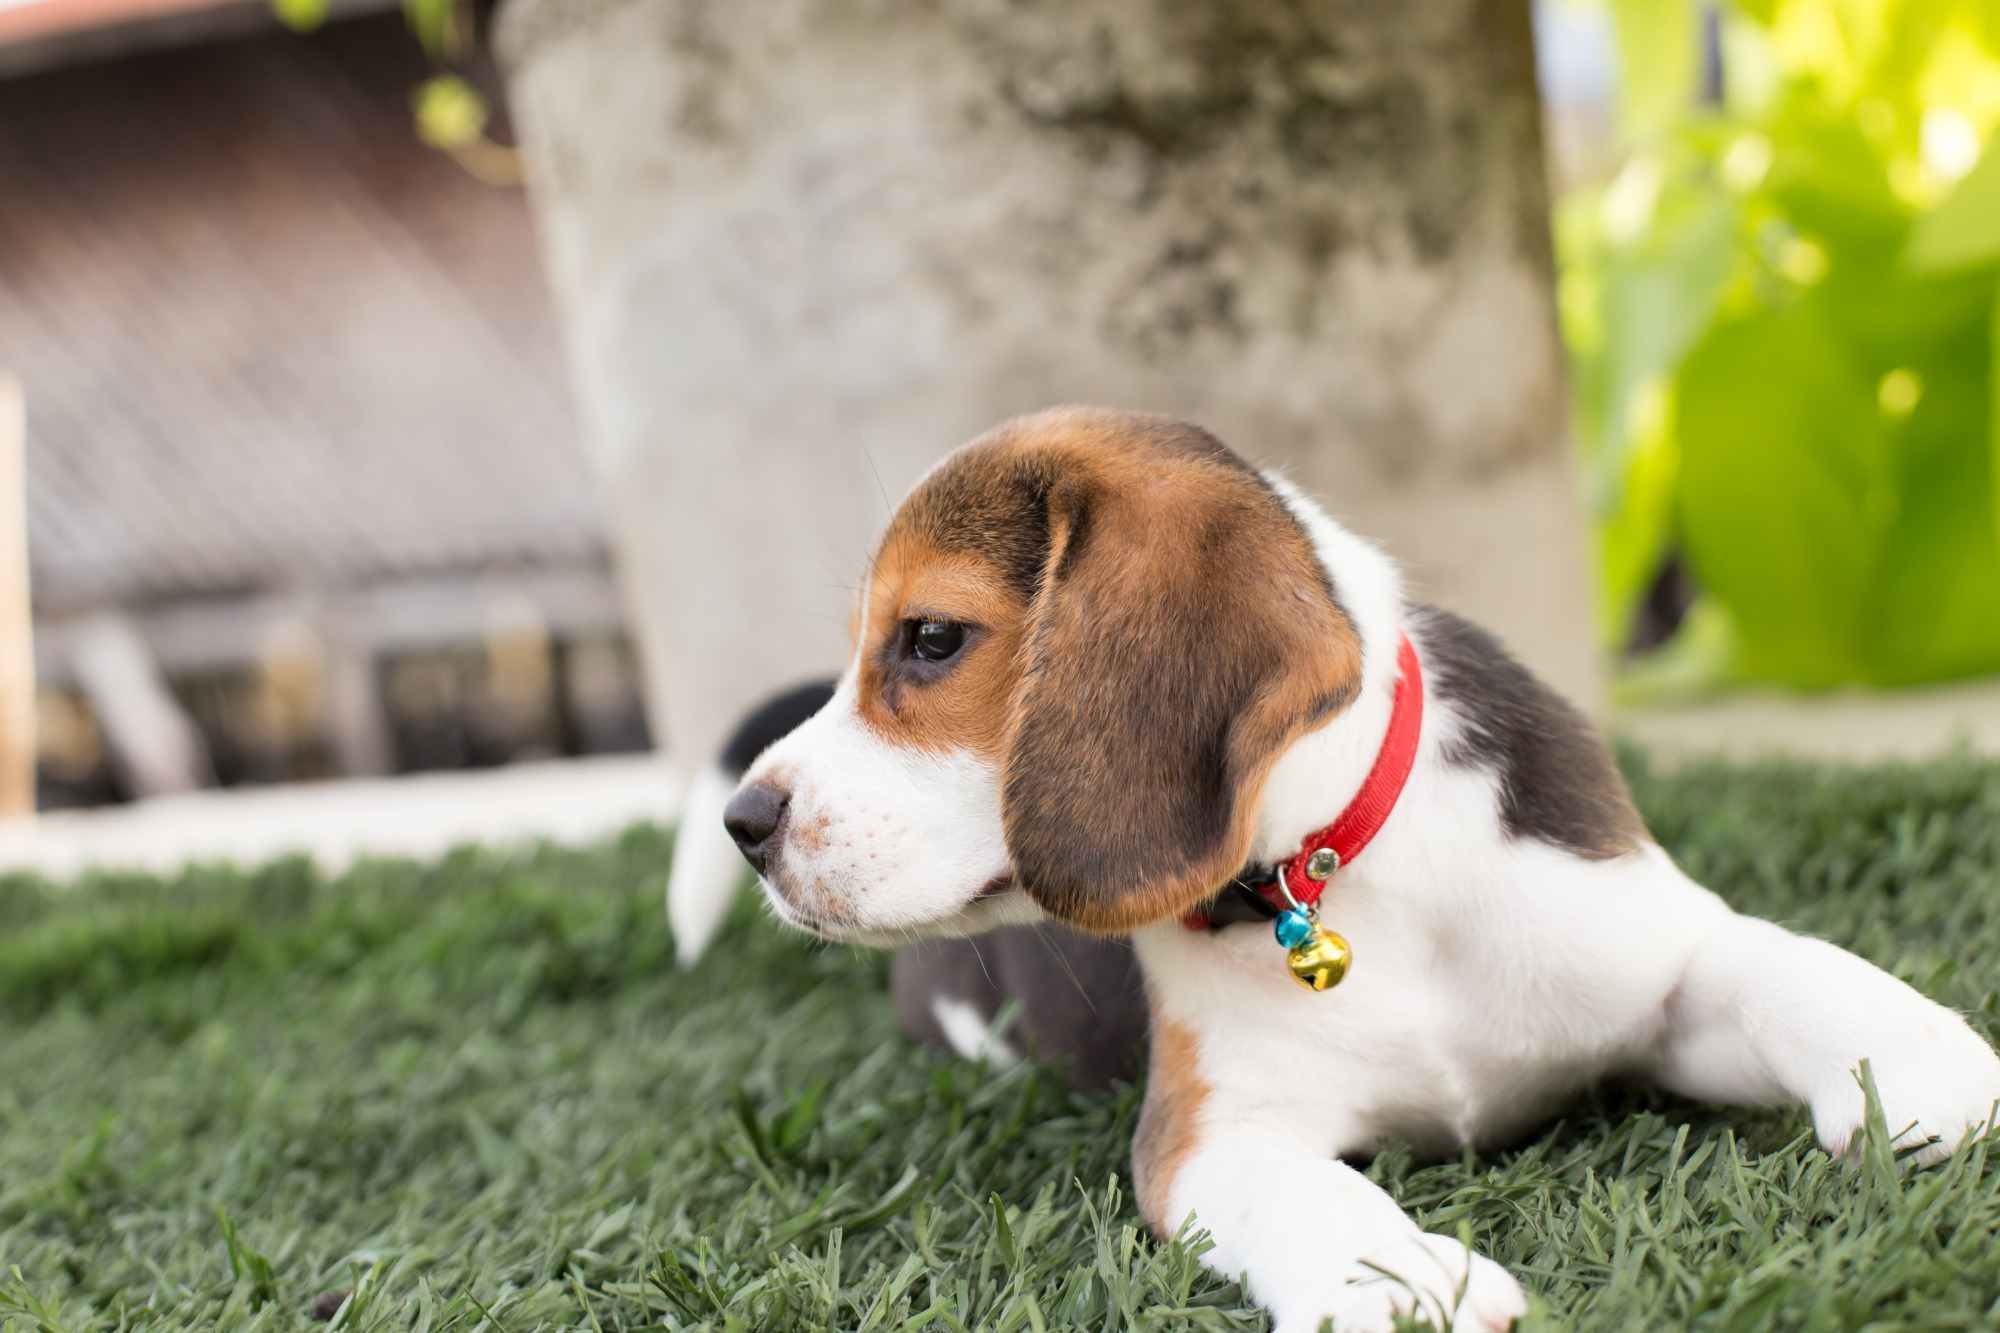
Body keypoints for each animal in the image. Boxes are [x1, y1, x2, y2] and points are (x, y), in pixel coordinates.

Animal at [720, 408, 2000, 1328]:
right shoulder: (1212, 1130)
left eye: (930, 639)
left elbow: (1774, 959)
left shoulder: (1643, 951)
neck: (1330, 877)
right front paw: (1396, 1279)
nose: (746, 821)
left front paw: (1915, 1061)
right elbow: (1305, 1188)